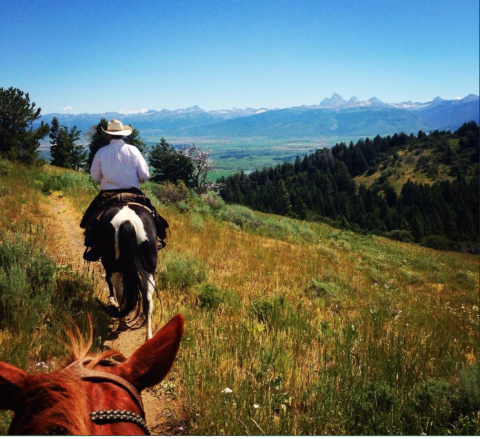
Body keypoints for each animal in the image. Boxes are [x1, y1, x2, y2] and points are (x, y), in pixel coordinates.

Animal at [96, 203, 158, 340]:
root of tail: (127, 221)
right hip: (148, 271)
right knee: (148, 299)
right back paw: (149, 336)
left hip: (112, 267)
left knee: (119, 293)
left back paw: (122, 323)